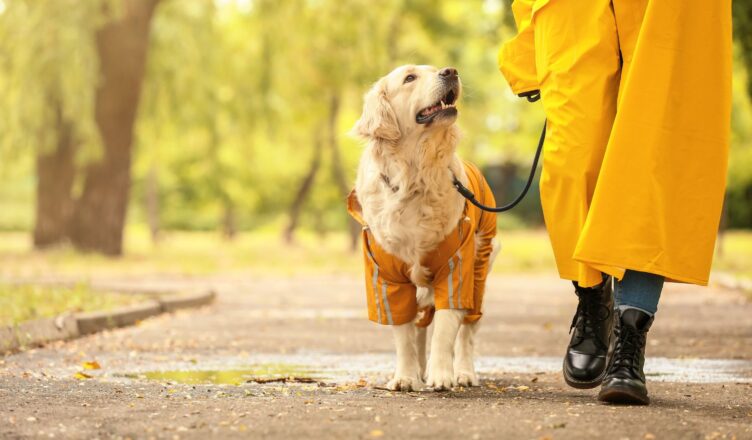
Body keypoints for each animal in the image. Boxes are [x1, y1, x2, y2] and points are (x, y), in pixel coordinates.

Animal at [346, 63, 500, 390]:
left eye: (435, 69)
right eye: (409, 78)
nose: (451, 71)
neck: (414, 175)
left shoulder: (456, 266)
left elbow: (445, 329)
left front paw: (441, 375)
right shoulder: (387, 276)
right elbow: (404, 335)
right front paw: (405, 376)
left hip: (480, 270)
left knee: (467, 330)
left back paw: (464, 372)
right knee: (419, 327)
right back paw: (418, 370)